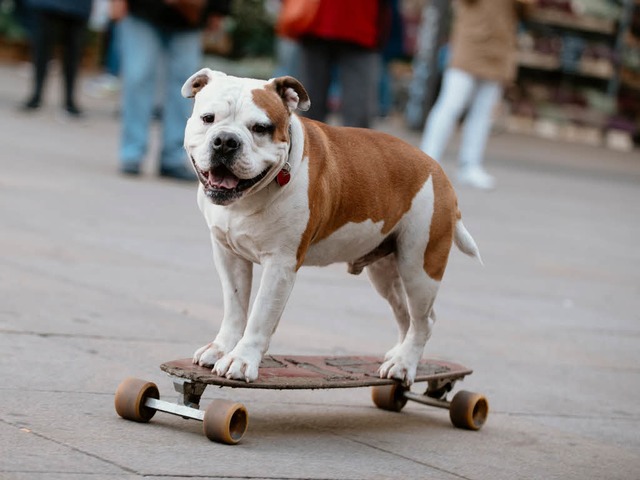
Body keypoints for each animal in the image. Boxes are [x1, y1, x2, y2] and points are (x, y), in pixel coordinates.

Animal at [180, 69, 480, 384]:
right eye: (208, 118)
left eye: (261, 128)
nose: (226, 140)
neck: (248, 198)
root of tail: (437, 170)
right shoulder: (228, 255)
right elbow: (235, 307)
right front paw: (221, 348)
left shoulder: (280, 265)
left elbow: (260, 315)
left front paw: (241, 360)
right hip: (385, 272)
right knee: (406, 315)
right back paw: (398, 355)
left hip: (419, 268)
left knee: (424, 320)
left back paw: (404, 364)